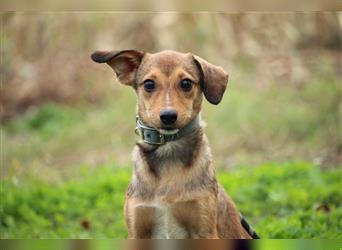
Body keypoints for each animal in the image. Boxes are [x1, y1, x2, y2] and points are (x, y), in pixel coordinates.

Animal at [89, 49, 258, 239]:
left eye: (186, 83)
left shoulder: (205, 229)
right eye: (149, 84)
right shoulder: (137, 230)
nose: (168, 116)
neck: (168, 152)